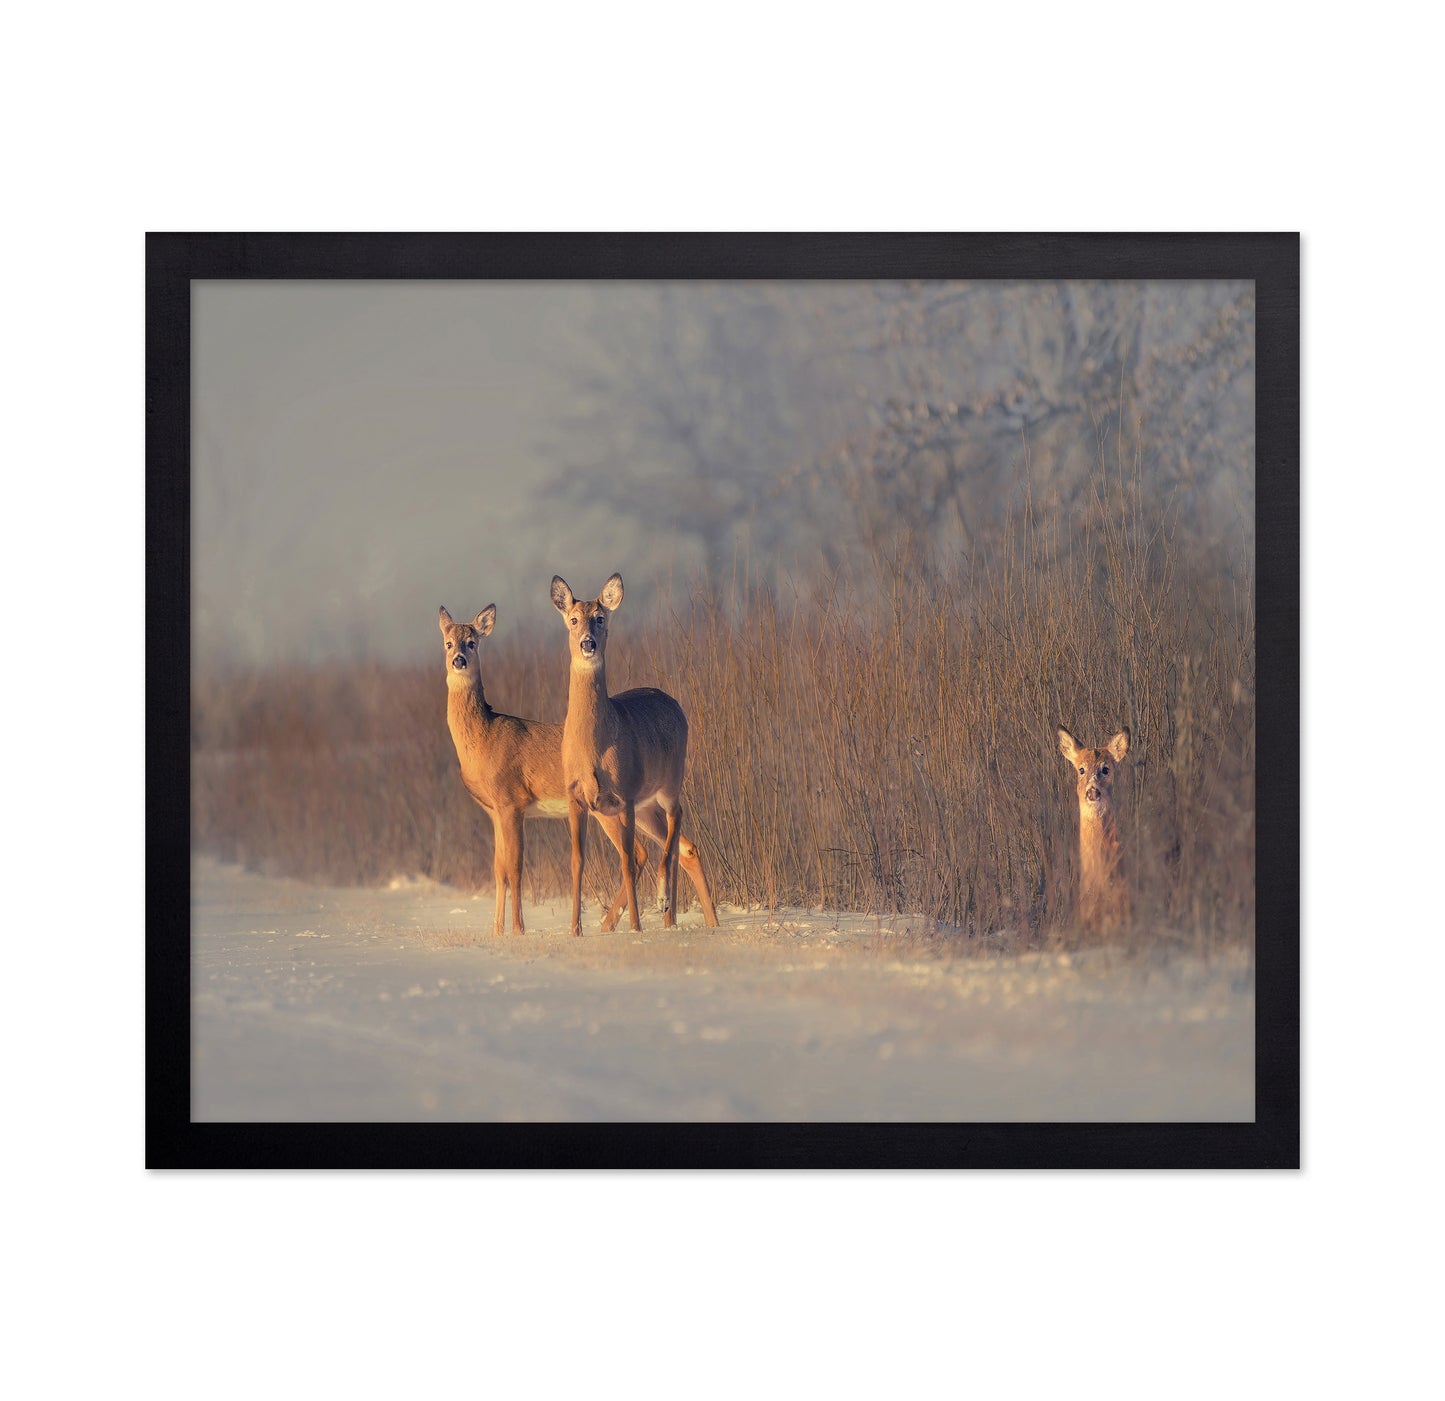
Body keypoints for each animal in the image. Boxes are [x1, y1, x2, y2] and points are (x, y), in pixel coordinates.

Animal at [439, 603, 654, 936]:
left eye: (472, 643)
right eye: (448, 643)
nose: (458, 660)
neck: (483, 740)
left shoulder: (512, 801)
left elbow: (515, 867)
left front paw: (518, 929)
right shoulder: (494, 810)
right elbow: (498, 869)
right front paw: (496, 931)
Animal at [550, 573, 718, 937]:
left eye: (601, 618)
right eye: (573, 619)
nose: (587, 643)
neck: (594, 748)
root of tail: (674, 703)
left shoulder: (624, 794)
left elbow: (626, 860)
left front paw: (637, 926)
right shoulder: (577, 797)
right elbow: (577, 861)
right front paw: (575, 930)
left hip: (669, 781)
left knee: (675, 822)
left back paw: (664, 903)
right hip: (644, 807)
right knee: (683, 846)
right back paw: (691, 920)